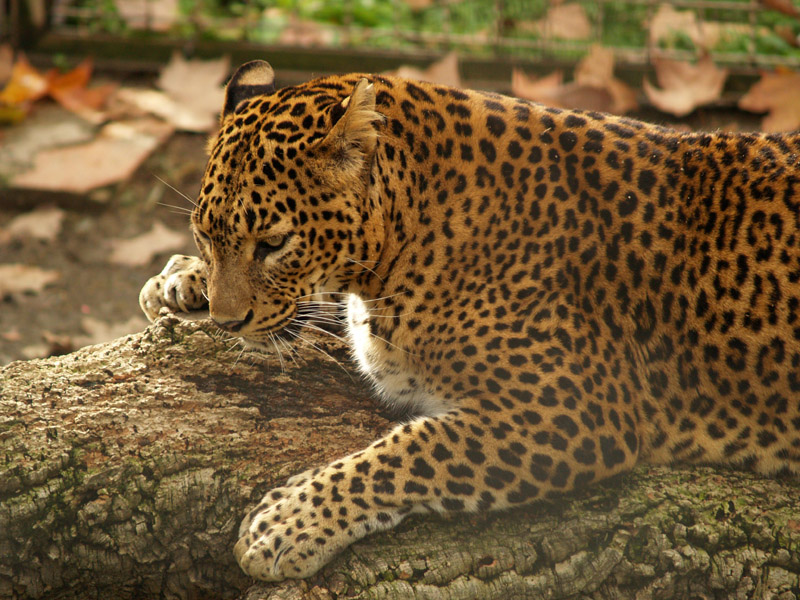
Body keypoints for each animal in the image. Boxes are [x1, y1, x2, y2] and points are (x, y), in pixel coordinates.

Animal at [140, 59, 800, 582]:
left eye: (274, 244)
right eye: (205, 234)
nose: (227, 322)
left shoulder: (574, 409)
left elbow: (410, 450)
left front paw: (285, 524)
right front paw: (181, 279)